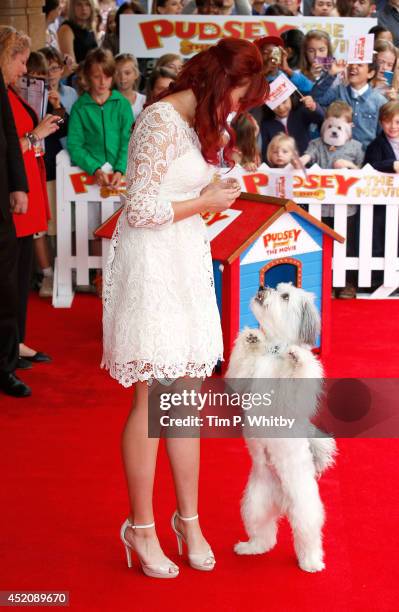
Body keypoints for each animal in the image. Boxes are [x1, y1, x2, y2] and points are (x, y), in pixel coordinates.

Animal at [225, 284, 338, 572]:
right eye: (276, 288)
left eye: (285, 296)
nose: (262, 286)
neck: (275, 350)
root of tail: (282, 499)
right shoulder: (246, 379)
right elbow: (240, 372)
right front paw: (251, 337)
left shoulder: (294, 394)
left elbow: (298, 375)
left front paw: (296, 356)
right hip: (254, 504)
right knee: (264, 534)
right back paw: (251, 548)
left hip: (303, 506)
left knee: (307, 533)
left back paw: (311, 562)